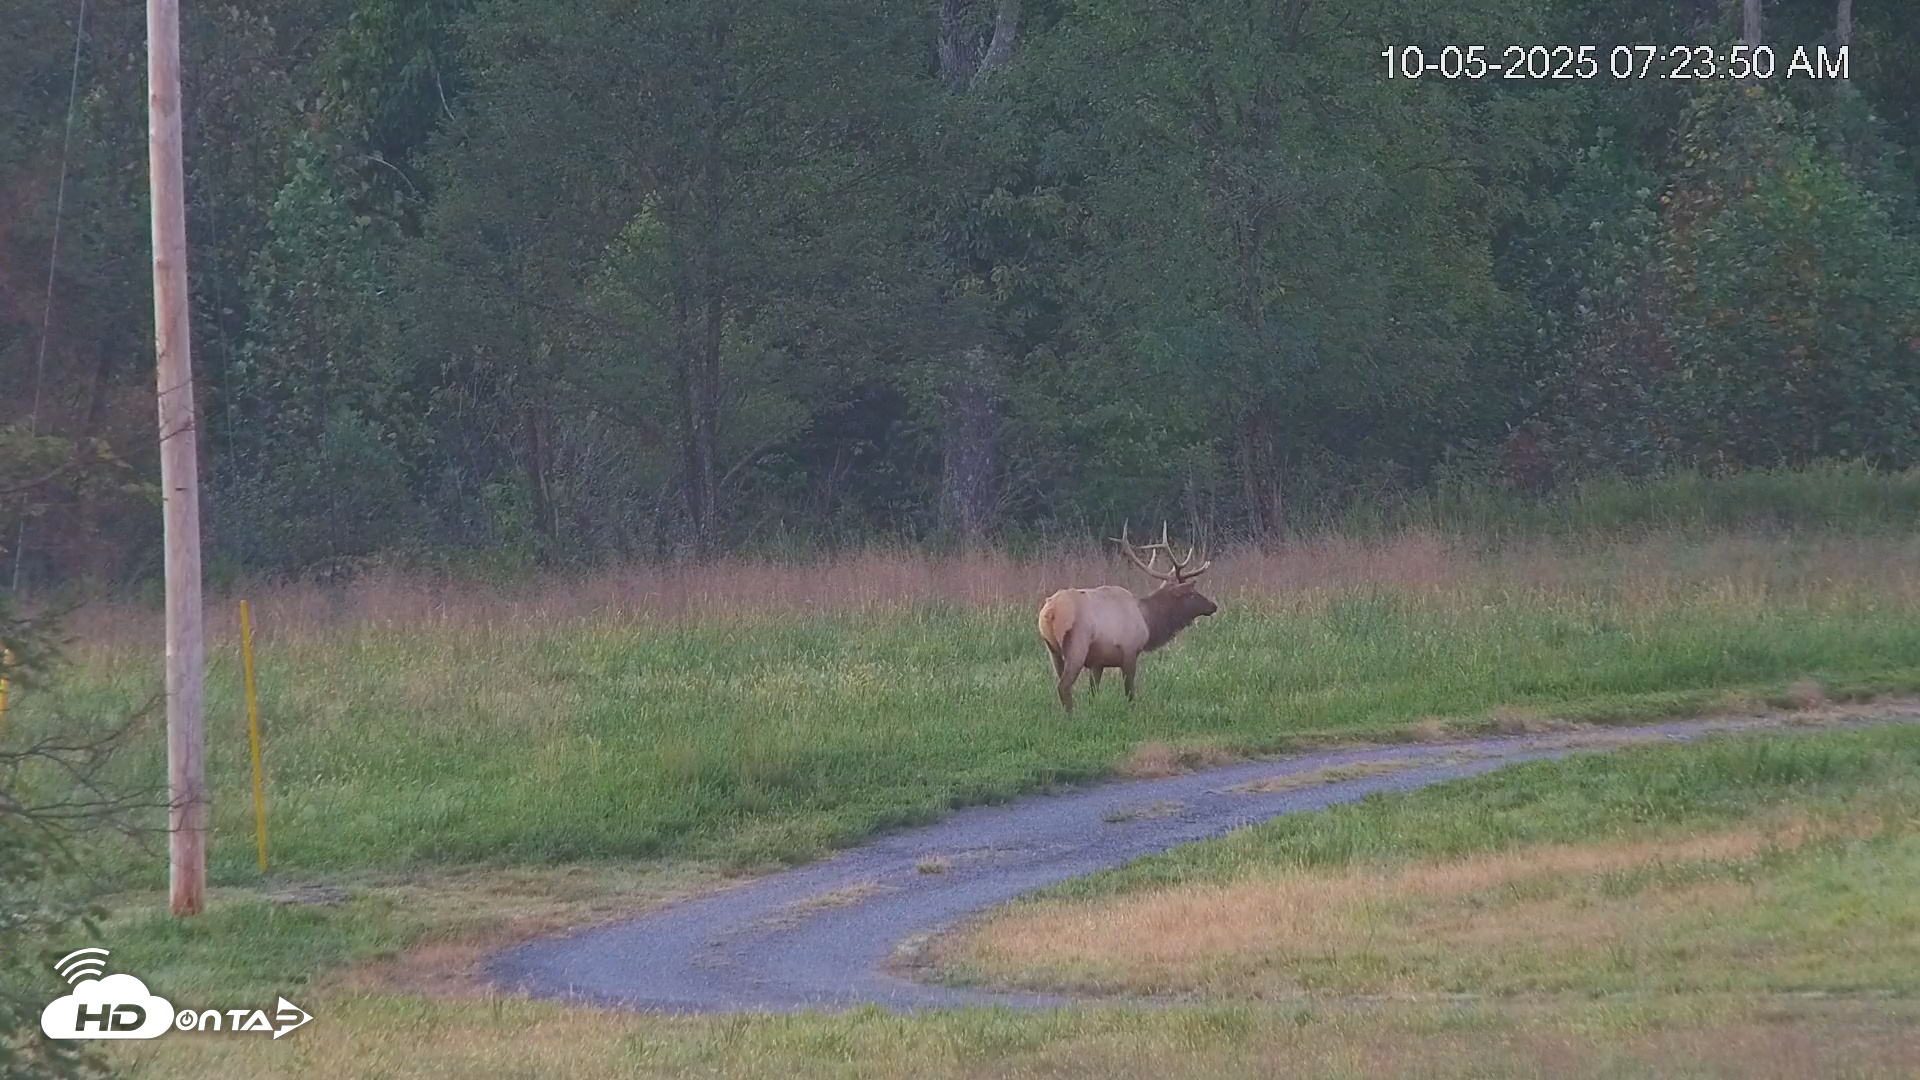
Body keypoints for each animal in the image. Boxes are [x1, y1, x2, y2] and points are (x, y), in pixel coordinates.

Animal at [1036, 522, 1218, 714]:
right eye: (1191, 593)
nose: (1213, 606)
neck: (1148, 621)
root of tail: (1050, 612)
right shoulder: (1130, 652)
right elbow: (1130, 692)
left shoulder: (1097, 662)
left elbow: (1093, 693)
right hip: (1077, 645)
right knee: (1063, 686)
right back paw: (1071, 715)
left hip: (1052, 650)